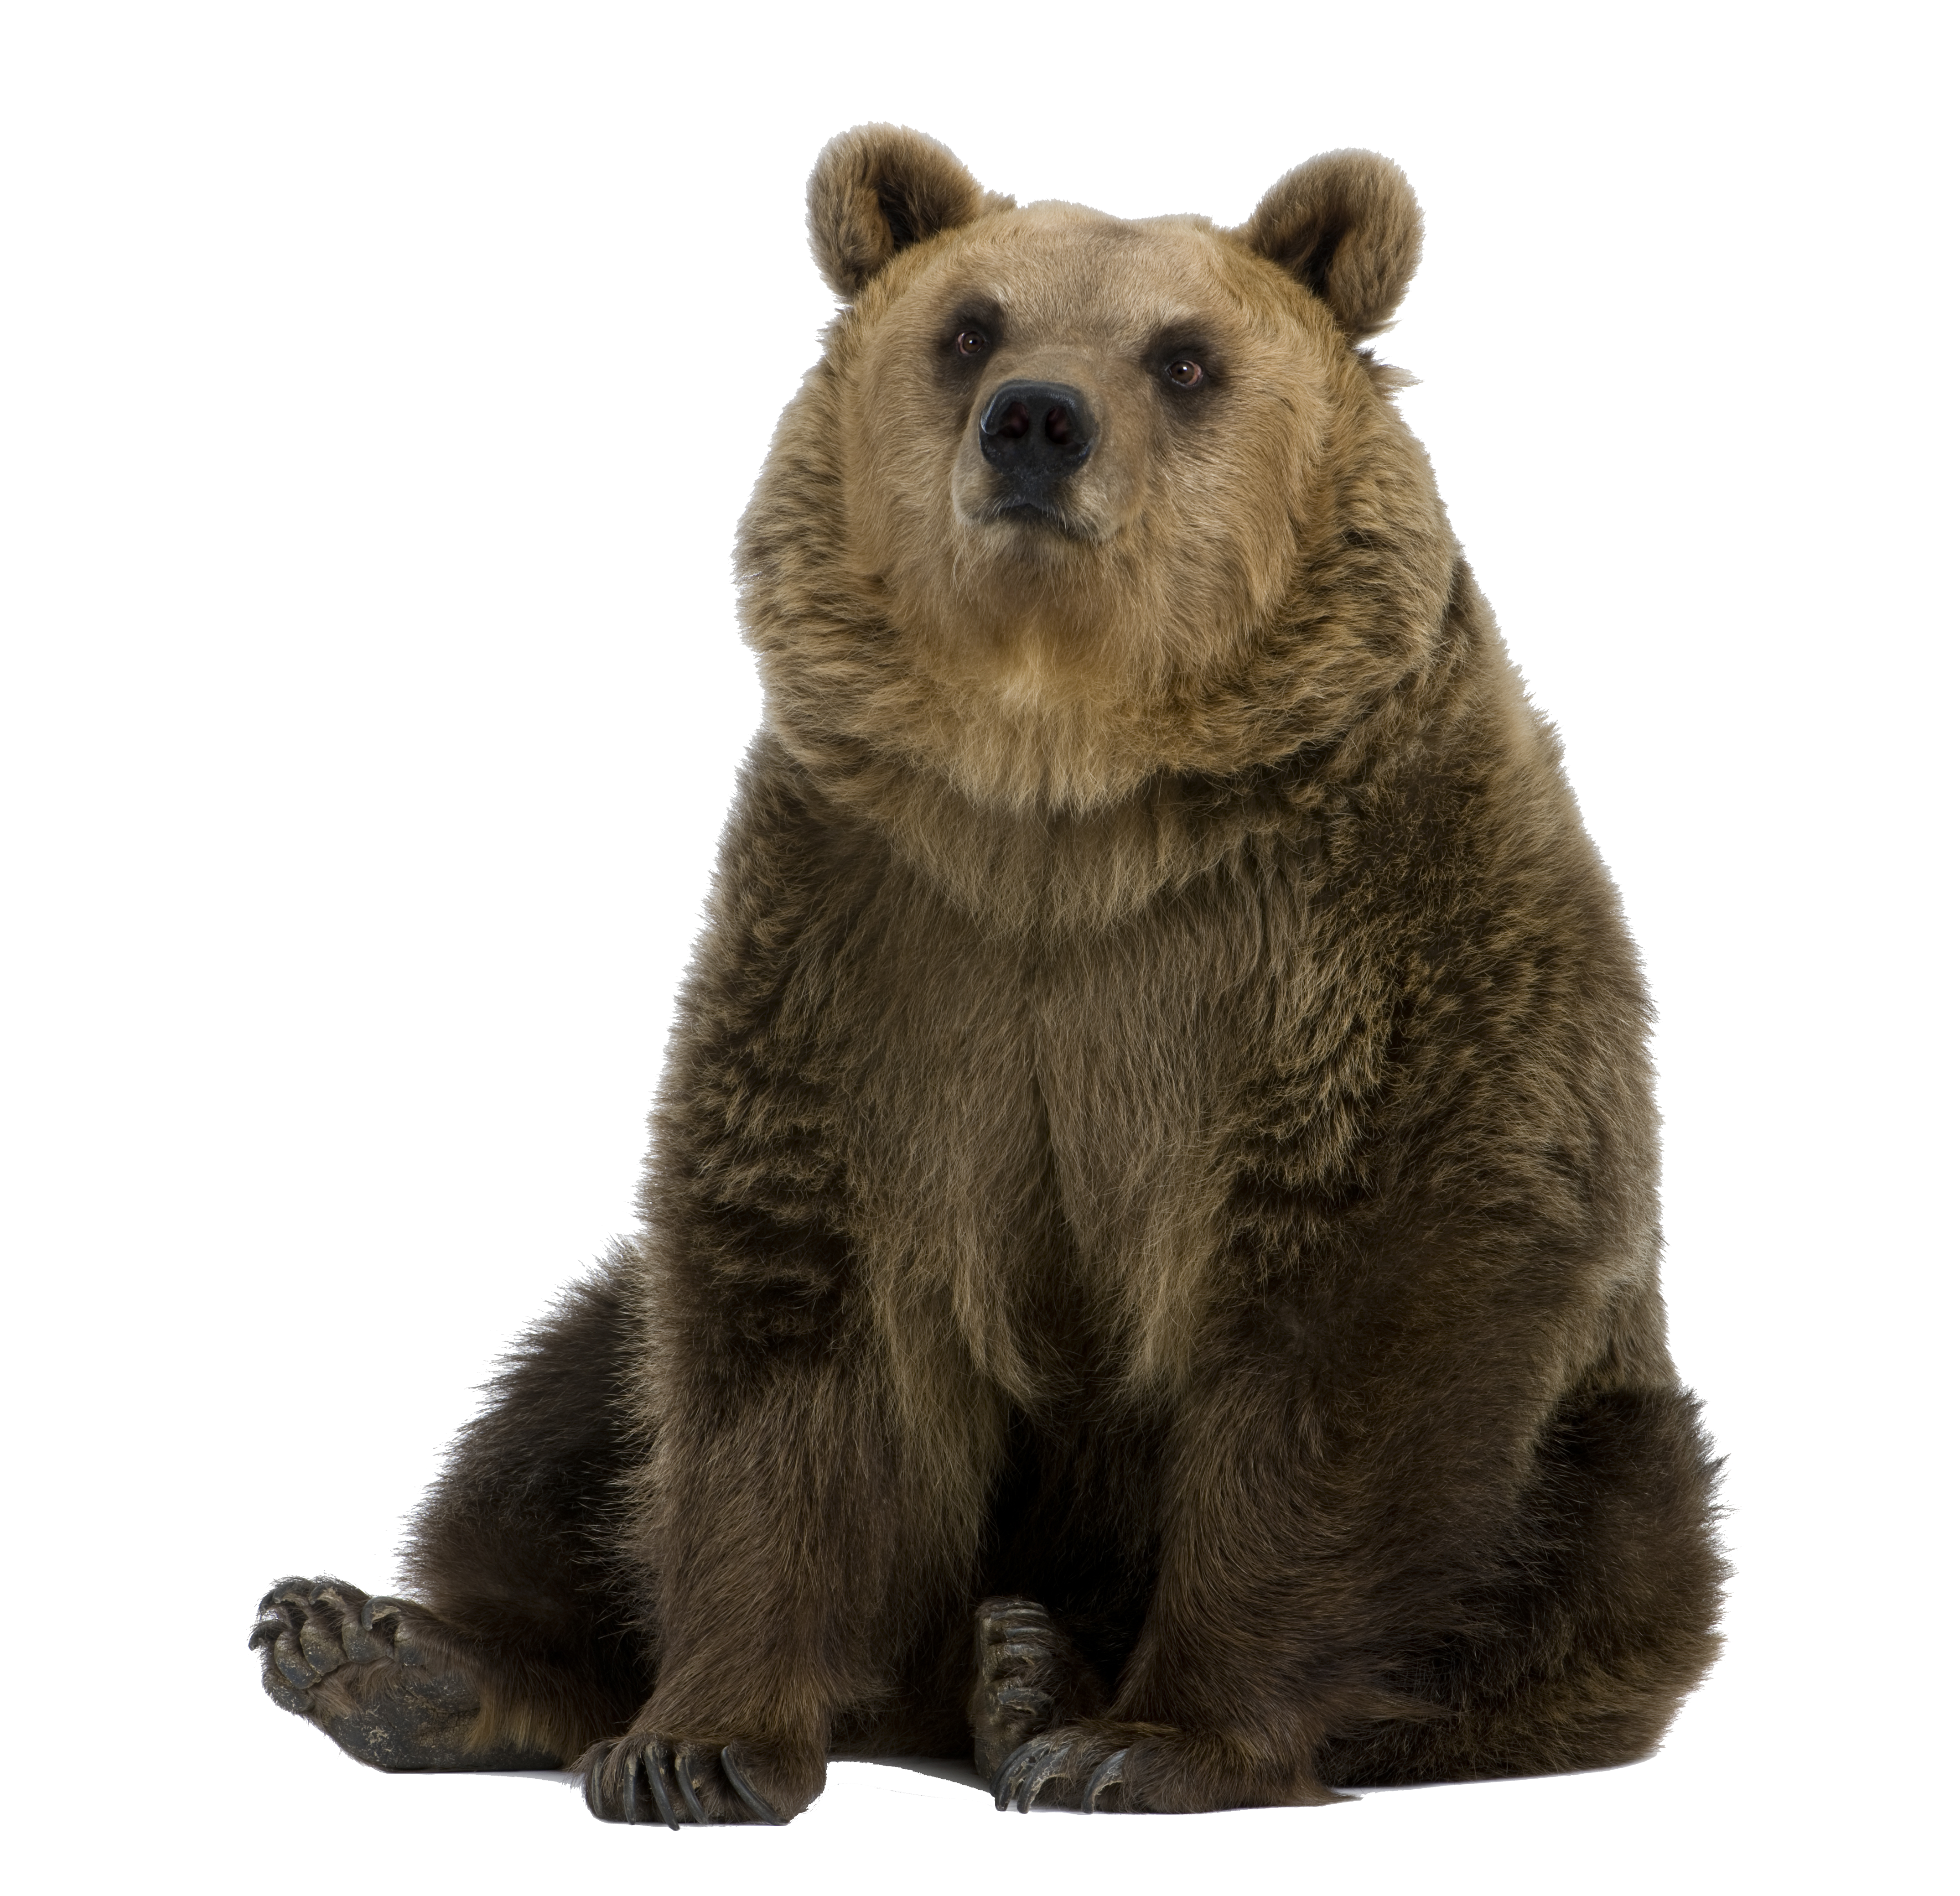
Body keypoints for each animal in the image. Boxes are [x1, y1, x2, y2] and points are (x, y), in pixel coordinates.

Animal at [251, 123, 1725, 1825]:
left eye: (1183, 355)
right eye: (968, 326)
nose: (1036, 418)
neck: (1062, 790)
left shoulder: (1362, 935)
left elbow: (1354, 1318)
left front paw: (1149, 1736)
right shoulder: (870, 939)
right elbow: (784, 1326)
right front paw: (695, 1737)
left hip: (1603, 1444)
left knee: (1593, 1543)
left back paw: (1032, 1669)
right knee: (571, 1393)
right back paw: (387, 1651)